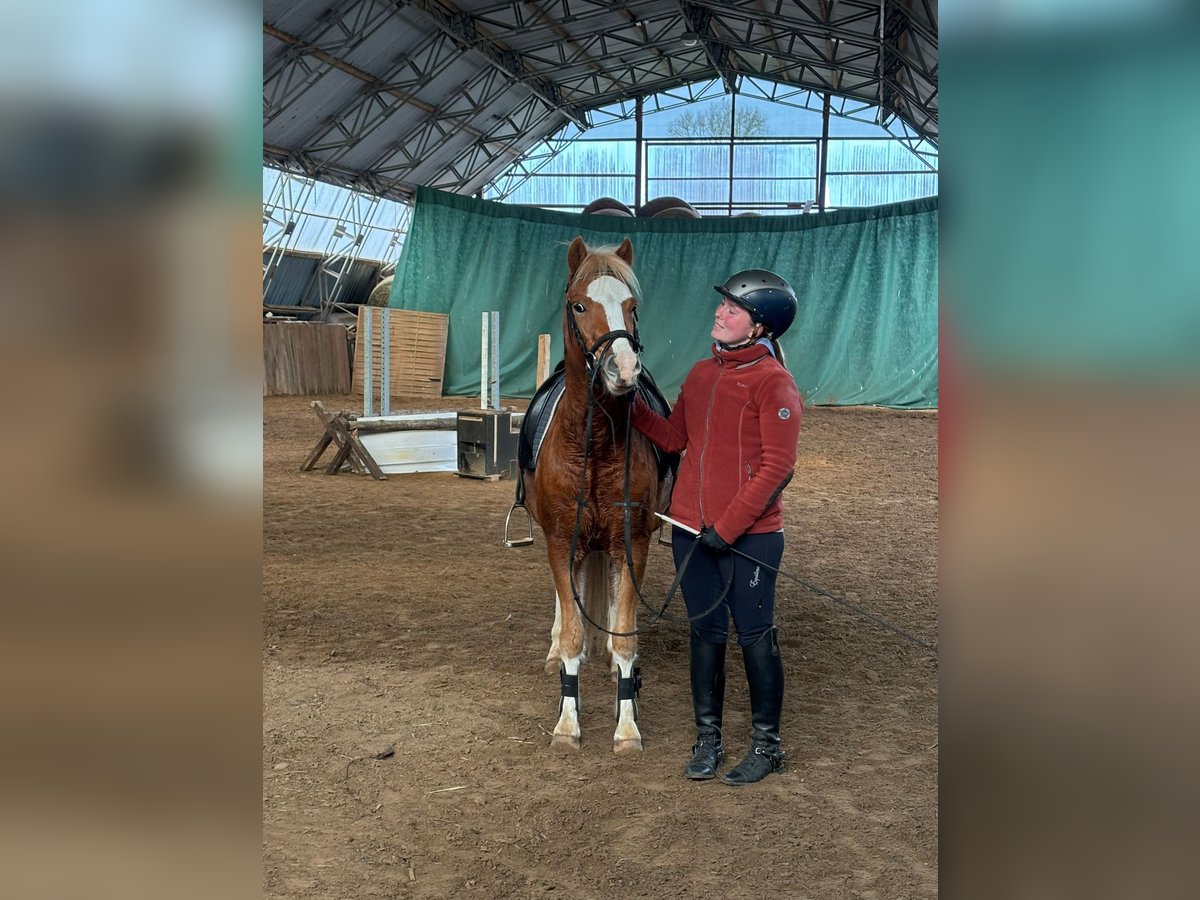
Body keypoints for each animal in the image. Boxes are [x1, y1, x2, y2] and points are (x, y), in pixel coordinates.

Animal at [520, 236, 672, 754]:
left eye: (632, 307)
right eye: (580, 305)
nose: (623, 367)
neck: (595, 443)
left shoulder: (632, 543)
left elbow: (625, 636)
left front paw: (626, 727)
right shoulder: (561, 542)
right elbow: (569, 631)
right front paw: (567, 722)